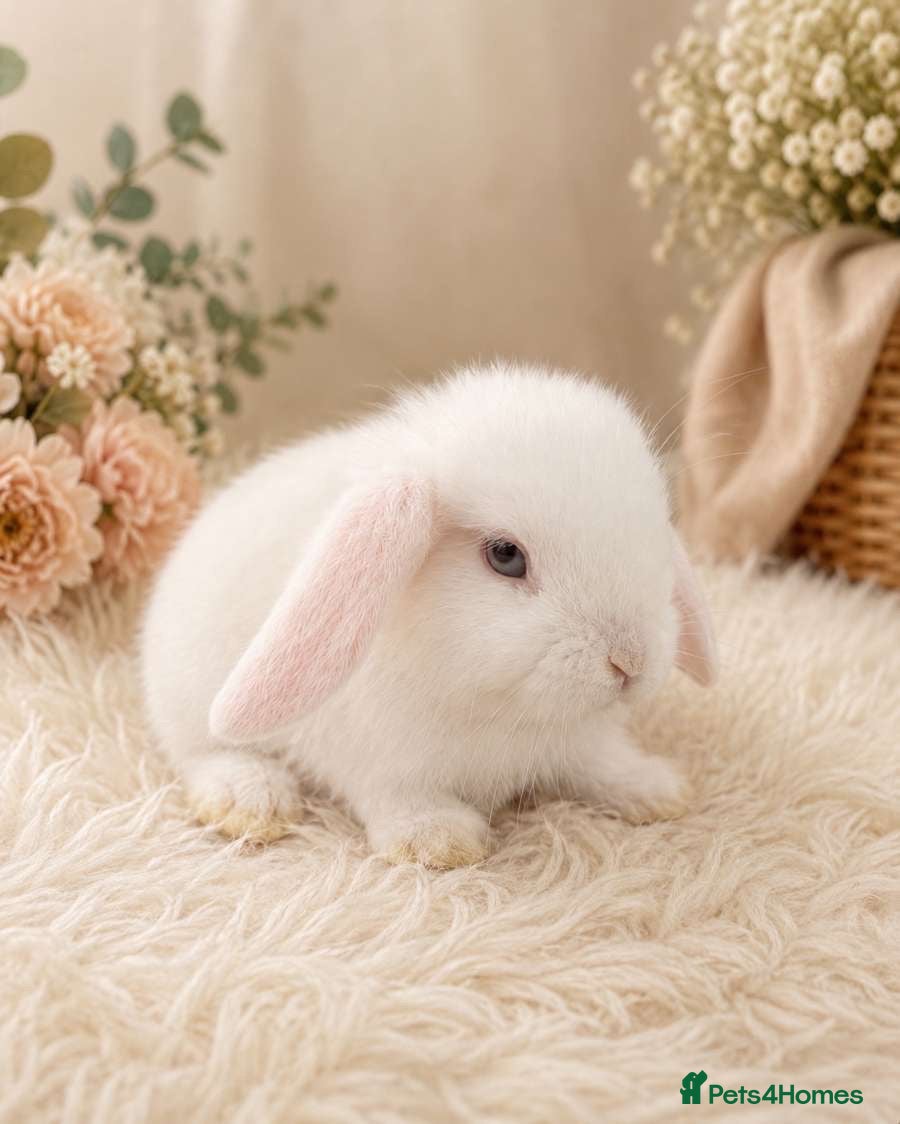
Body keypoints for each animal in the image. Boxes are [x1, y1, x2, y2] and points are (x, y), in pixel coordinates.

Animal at [141, 362, 717, 868]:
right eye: (505, 555)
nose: (630, 661)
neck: (502, 709)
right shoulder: (379, 760)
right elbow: (397, 797)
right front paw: (437, 840)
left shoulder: (583, 742)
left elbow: (602, 762)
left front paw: (656, 789)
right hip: (192, 699)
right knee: (200, 753)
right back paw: (251, 799)